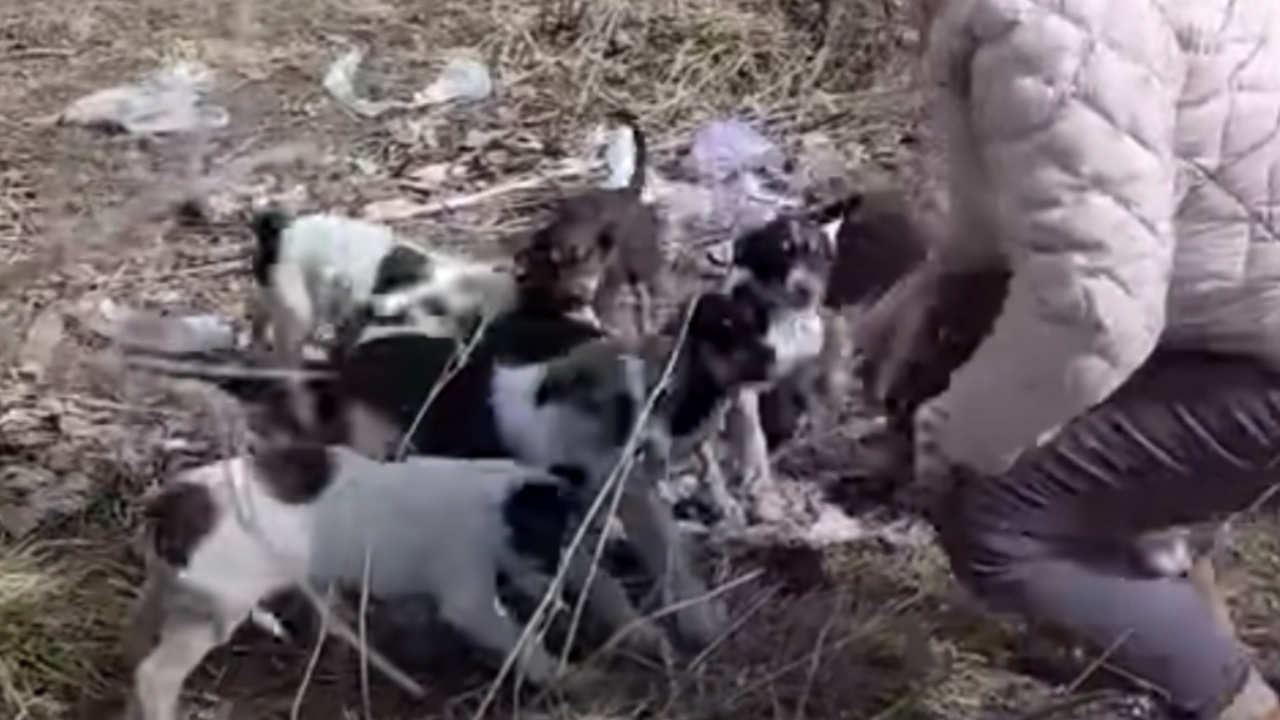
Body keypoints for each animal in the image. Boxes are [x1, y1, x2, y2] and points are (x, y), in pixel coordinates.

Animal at [514, 110, 665, 338]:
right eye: (555, 263)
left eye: (587, 257)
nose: (578, 296)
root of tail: (626, 191)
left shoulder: (610, 276)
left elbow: (605, 302)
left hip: (643, 257)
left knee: (643, 286)